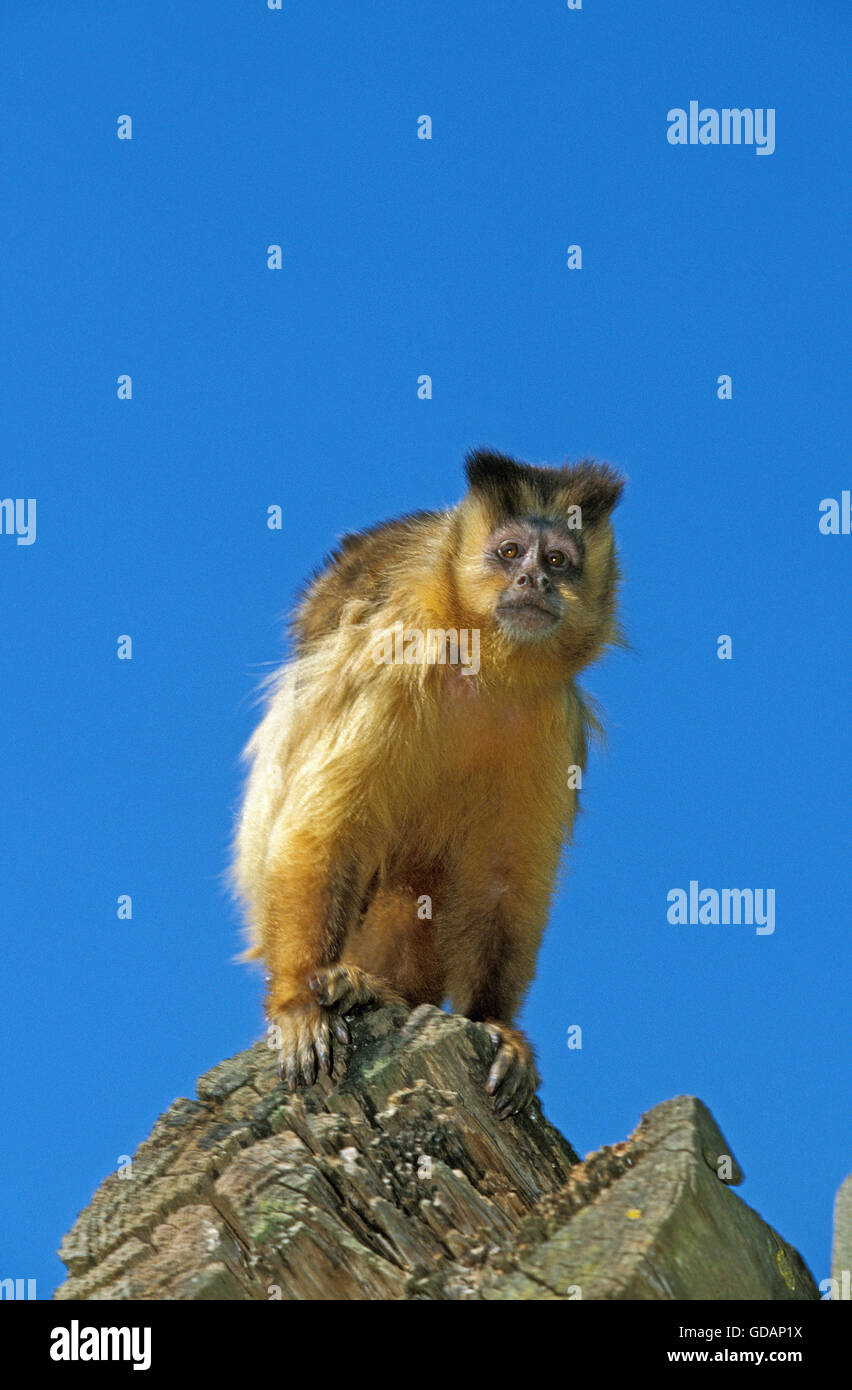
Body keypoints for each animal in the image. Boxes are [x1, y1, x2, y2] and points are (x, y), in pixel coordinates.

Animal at [232, 447, 625, 1117]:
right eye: (510, 552)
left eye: (556, 561)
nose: (534, 582)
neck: (482, 664)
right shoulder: (395, 653)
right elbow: (322, 830)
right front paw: (298, 1002)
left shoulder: (553, 719)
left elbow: (500, 877)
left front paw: (494, 1023)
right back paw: (352, 984)